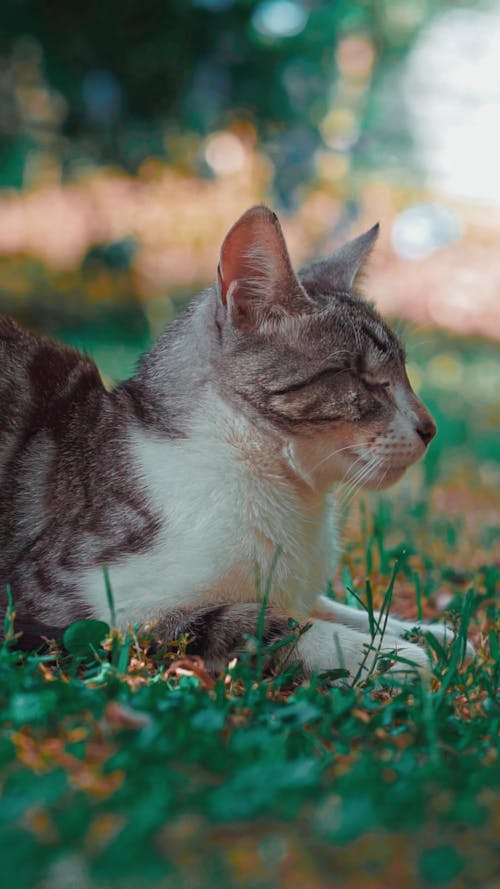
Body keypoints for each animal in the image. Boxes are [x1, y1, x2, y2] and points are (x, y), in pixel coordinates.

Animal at [0, 206, 470, 680]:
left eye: (403, 372)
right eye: (359, 376)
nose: (429, 427)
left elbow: (333, 607)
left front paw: (427, 633)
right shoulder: (72, 603)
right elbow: (264, 622)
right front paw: (387, 654)